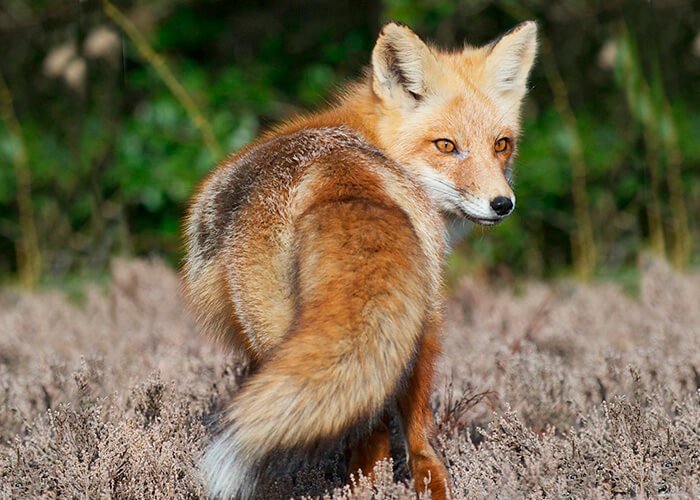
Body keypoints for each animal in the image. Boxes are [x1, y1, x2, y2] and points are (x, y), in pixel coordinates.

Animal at [183, 20, 537, 500]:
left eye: (501, 145)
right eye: (446, 145)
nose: (502, 204)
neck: (369, 137)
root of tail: (336, 173)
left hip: (274, 333)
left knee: (372, 432)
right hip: (419, 325)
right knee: (418, 442)